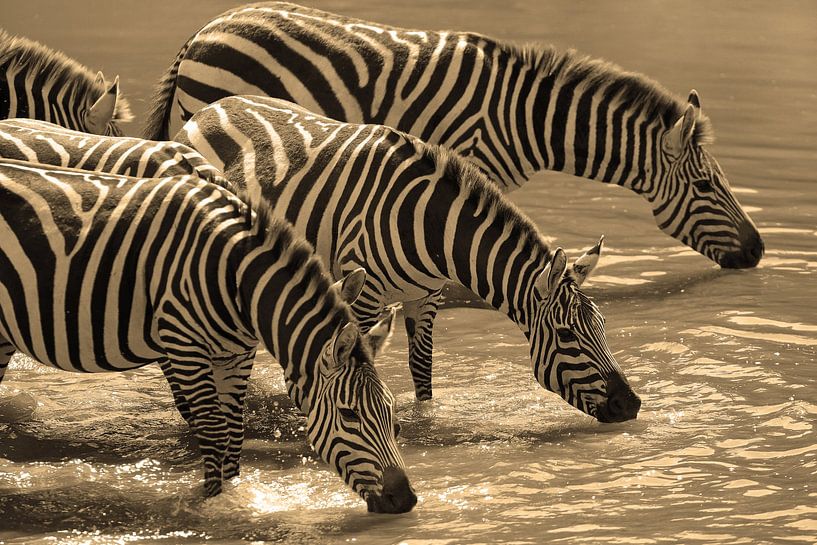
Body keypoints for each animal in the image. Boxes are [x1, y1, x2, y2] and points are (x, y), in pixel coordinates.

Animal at [0, 158, 416, 512]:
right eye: (349, 415)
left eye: (391, 411)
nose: (405, 500)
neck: (239, 280)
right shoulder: (185, 345)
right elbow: (214, 430)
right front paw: (214, 505)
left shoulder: (235, 354)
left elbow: (234, 428)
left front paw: (235, 493)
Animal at [174, 95, 641, 421]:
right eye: (567, 335)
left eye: (603, 325)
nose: (632, 405)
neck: (434, 230)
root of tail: (210, 107)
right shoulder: (363, 299)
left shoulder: (425, 298)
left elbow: (422, 369)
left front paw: (424, 420)